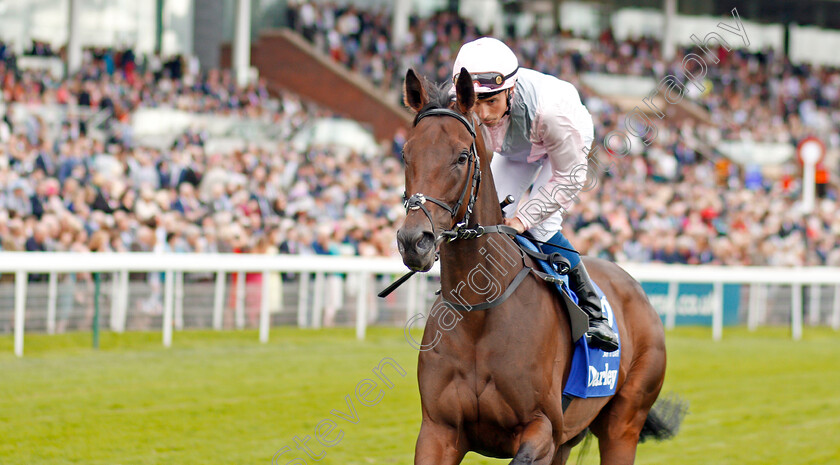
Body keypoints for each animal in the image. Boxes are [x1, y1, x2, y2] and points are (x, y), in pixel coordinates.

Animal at [396, 67, 684, 462]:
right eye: (406, 153)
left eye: (461, 157)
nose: (414, 241)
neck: (478, 312)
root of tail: (635, 288)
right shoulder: (439, 430)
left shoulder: (542, 427)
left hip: (623, 423)